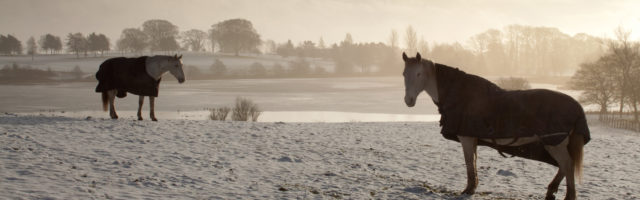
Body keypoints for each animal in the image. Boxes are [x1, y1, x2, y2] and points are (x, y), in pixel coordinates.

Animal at [402, 52, 592, 200]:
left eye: (418, 74)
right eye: (404, 74)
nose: (408, 101)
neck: (461, 94)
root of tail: (577, 106)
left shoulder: (466, 138)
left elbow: (469, 162)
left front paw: (468, 190)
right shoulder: (473, 138)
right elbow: (474, 162)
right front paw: (473, 187)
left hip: (555, 142)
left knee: (567, 165)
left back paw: (567, 195)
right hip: (555, 144)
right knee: (564, 166)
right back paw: (551, 191)